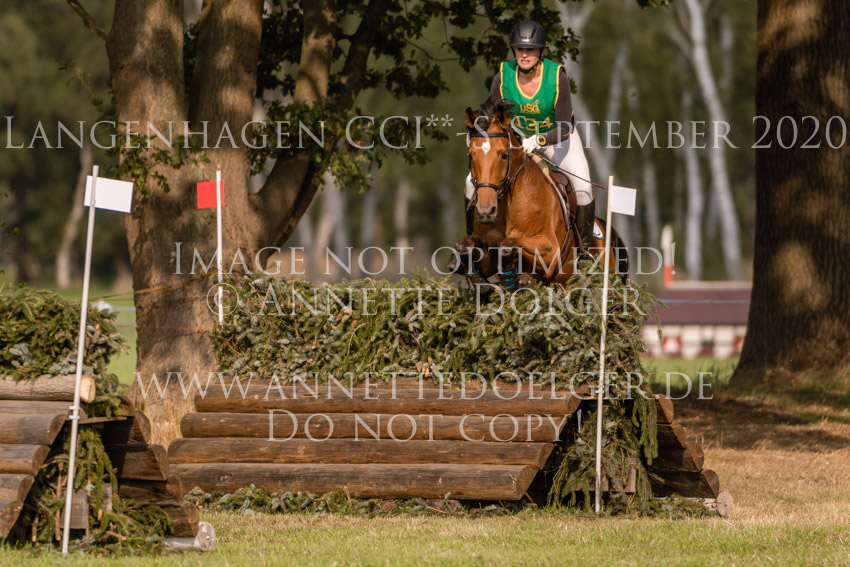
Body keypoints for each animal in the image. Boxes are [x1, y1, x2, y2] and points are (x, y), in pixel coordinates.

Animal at [453, 100, 628, 290]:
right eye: (471, 155)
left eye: (504, 155)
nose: (486, 211)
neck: (509, 205)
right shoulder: (487, 255)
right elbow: (466, 245)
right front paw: (484, 279)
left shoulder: (550, 252)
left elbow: (508, 244)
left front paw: (515, 277)